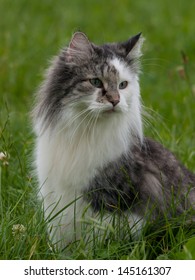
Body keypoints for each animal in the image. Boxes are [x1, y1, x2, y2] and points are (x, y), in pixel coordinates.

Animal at [32, 31, 195, 248]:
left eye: (122, 85)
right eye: (96, 82)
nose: (115, 100)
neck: (88, 132)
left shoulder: (110, 203)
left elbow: (98, 239)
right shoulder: (54, 200)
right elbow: (61, 243)